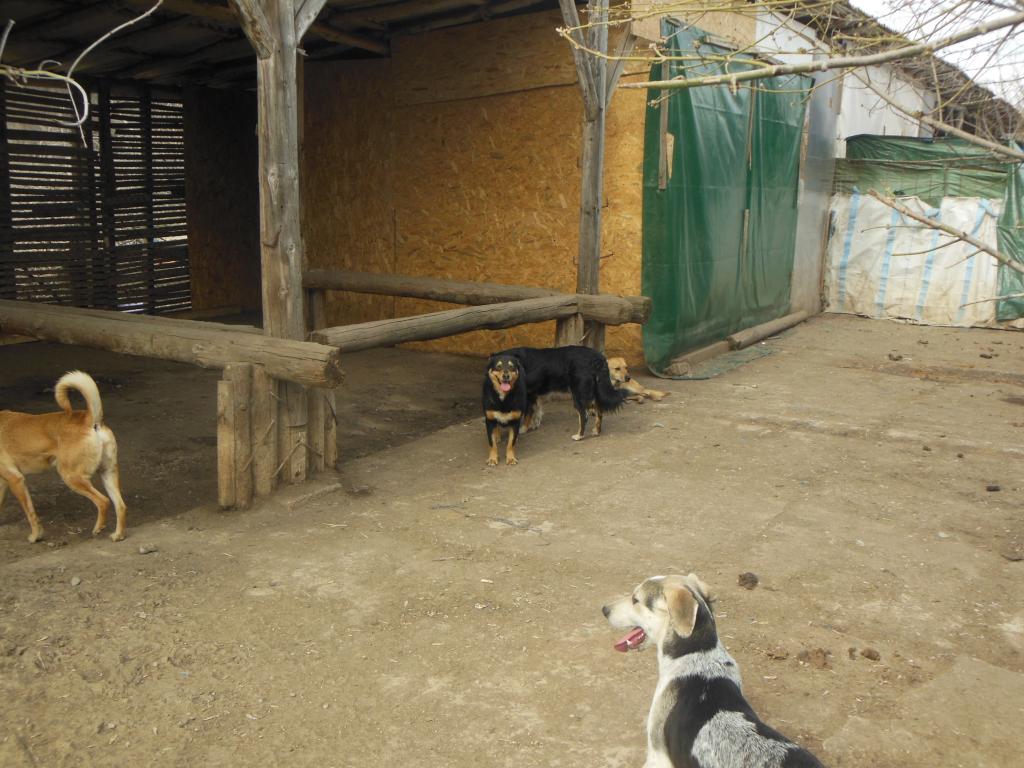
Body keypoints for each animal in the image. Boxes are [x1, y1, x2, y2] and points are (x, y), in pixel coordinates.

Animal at [0, 370, 126, 540]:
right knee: (120, 505)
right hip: (108, 474)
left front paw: (36, 536)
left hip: (71, 476)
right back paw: (117, 535)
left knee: (103, 501)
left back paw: (97, 529)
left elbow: (30, 513)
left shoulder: (16, 480)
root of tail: (89, 419)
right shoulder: (3, 481)